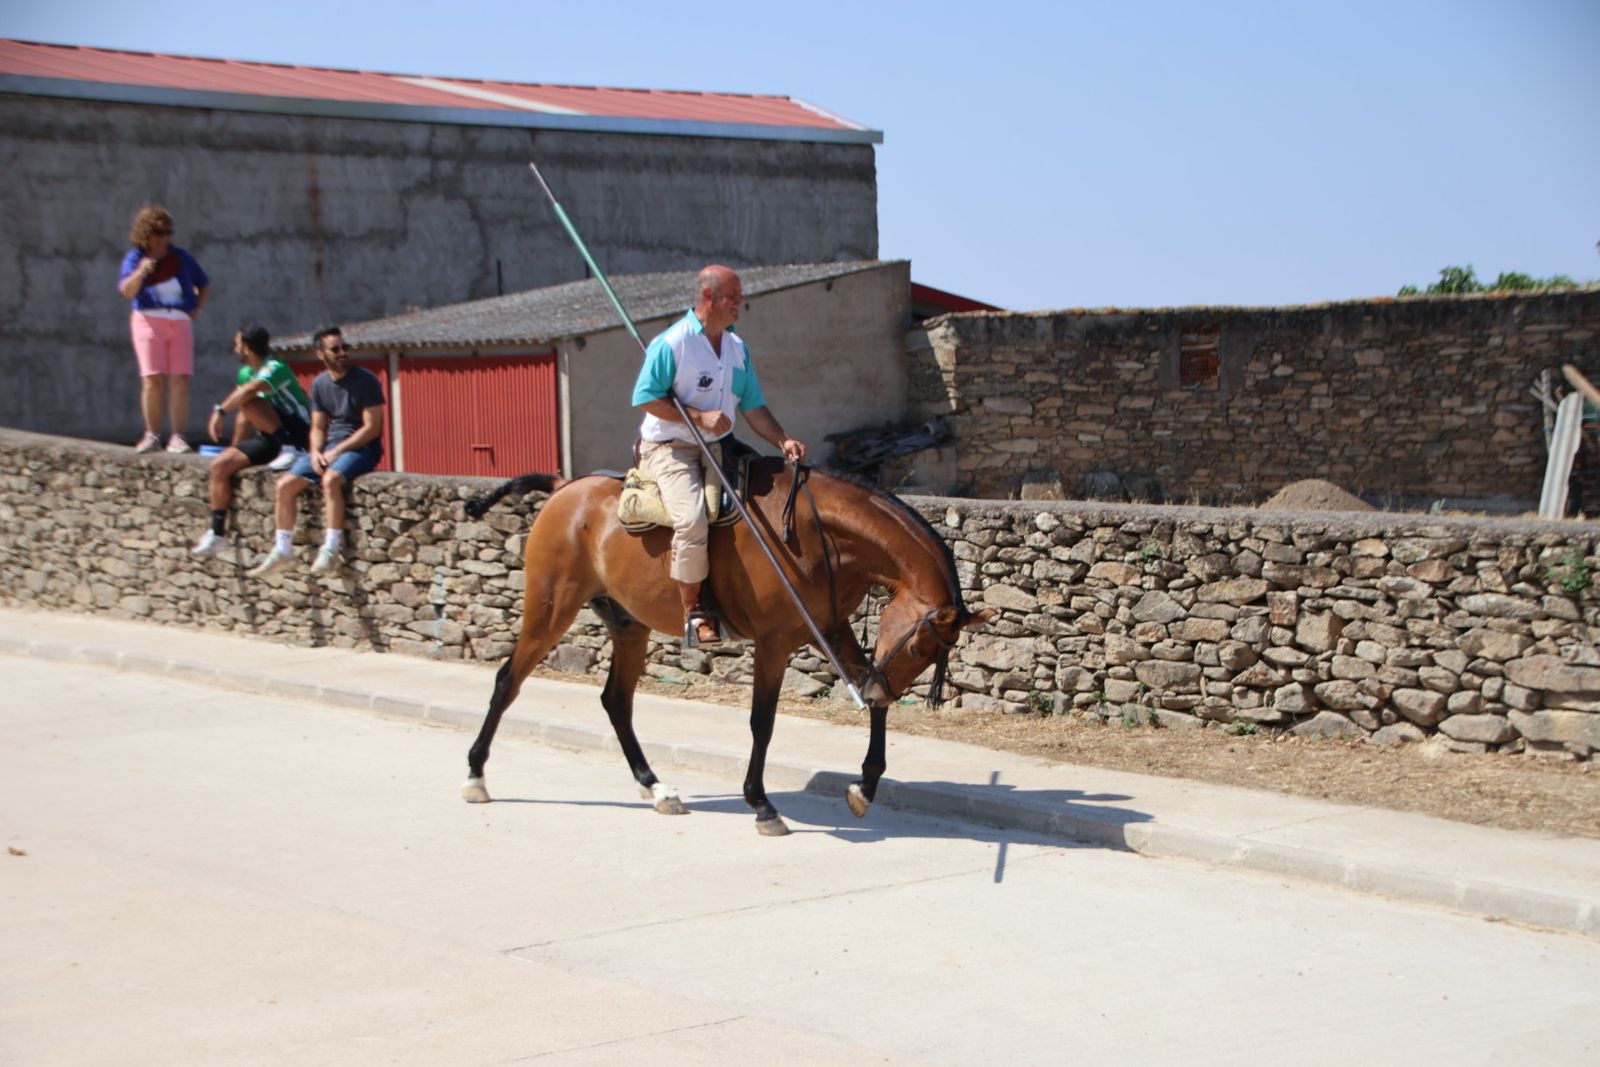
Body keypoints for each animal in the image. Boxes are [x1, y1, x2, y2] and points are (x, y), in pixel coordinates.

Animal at [460, 457, 992, 836]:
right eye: (920, 647)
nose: (884, 689)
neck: (817, 534)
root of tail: (564, 488)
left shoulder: (832, 628)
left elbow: (869, 704)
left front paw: (865, 785)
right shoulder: (775, 641)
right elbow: (762, 722)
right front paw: (761, 803)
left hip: (628, 625)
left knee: (616, 701)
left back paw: (656, 788)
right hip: (551, 609)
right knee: (508, 681)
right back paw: (475, 776)